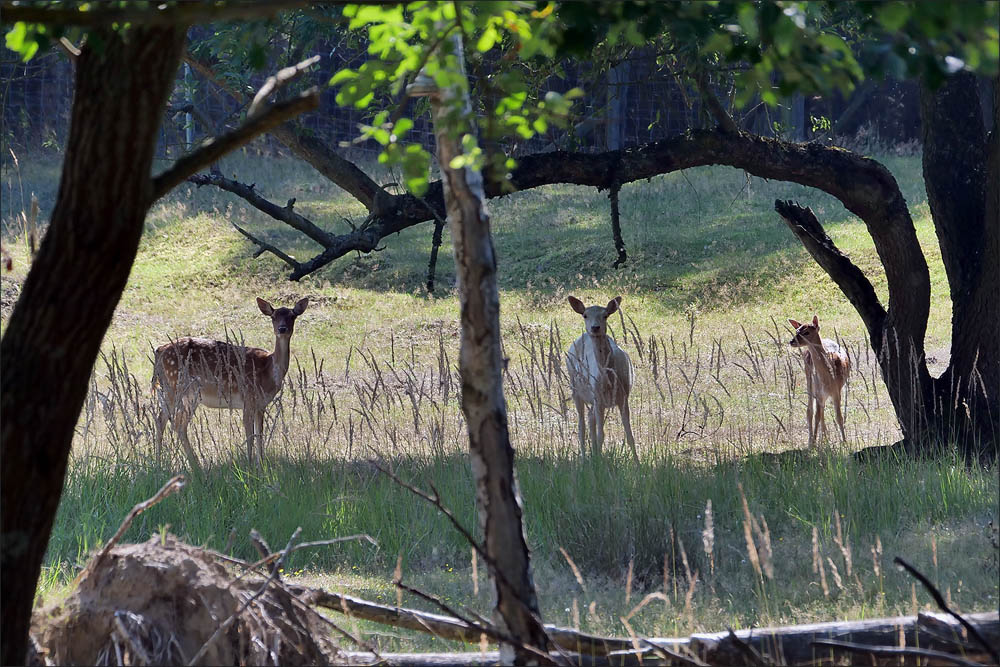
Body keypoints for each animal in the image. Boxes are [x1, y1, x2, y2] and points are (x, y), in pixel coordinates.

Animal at [152, 298, 306, 470]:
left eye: (293, 316)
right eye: (273, 317)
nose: (282, 329)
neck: (269, 371)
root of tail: (159, 350)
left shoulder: (261, 405)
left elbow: (259, 433)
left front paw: (261, 465)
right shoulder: (249, 398)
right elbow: (250, 434)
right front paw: (249, 465)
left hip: (176, 392)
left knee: (162, 420)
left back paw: (161, 464)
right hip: (179, 388)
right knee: (176, 423)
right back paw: (194, 466)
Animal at [568, 294, 636, 462]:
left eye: (605, 315)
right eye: (585, 315)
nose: (595, 328)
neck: (609, 379)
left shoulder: (623, 397)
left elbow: (630, 436)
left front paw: (638, 463)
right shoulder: (598, 399)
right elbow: (601, 435)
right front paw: (600, 463)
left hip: (593, 398)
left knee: (590, 418)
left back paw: (592, 454)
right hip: (575, 388)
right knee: (581, 425)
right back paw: (584, 459)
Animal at [788, 314, 852, 448]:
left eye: (806, 332)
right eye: (796, 331)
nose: (791, 342)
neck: (829, 377)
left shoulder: (837, 391)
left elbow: (839, 416)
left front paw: (844, 441)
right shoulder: (818, 392)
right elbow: (816, 416)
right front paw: (813, 442)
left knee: (821, 410)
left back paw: (825, 436)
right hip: (809, 380)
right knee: (810, 411)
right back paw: (814, 439)